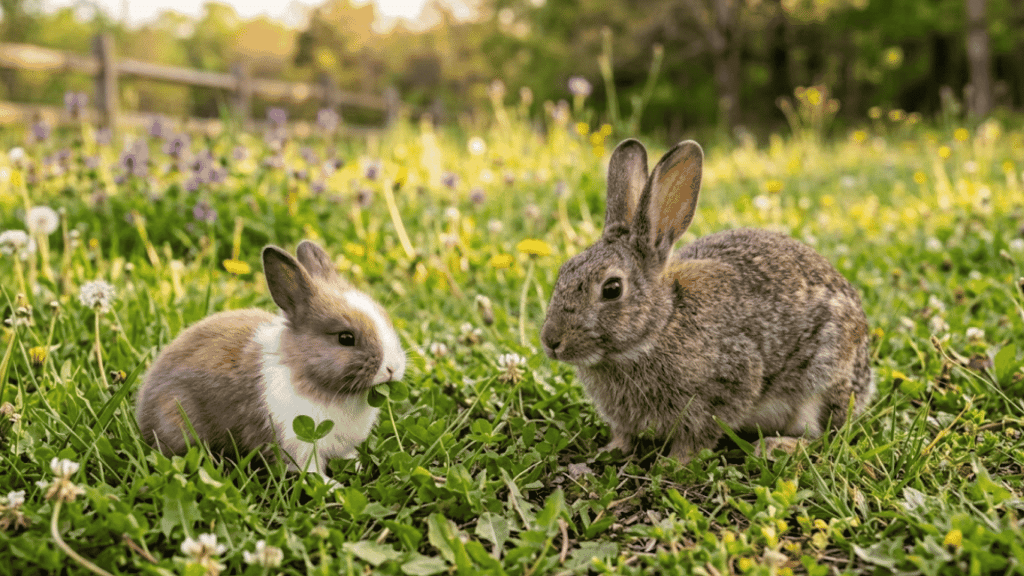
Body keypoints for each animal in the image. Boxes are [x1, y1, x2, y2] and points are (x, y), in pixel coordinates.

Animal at [540, 139, 874, 462]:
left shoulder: (727, 385)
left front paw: (674, 462)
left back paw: (777, 447)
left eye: (611, 289)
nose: (551, 341)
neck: (662, 324)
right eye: (563, 270)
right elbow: (624, 434)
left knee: (825, 436)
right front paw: (612, 450)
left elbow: (698, 435)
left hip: (820, 384)